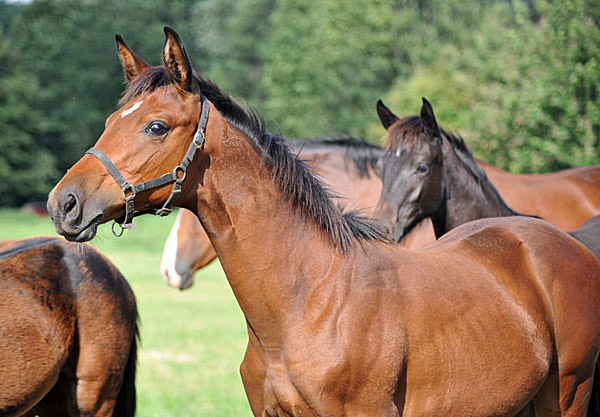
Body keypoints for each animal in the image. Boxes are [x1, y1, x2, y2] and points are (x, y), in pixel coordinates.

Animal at [47, 27, 600, 414]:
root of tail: (567, 246)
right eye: (110, 122)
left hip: (568, 395)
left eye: (156, 126)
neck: (310, 299)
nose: (63, 203)